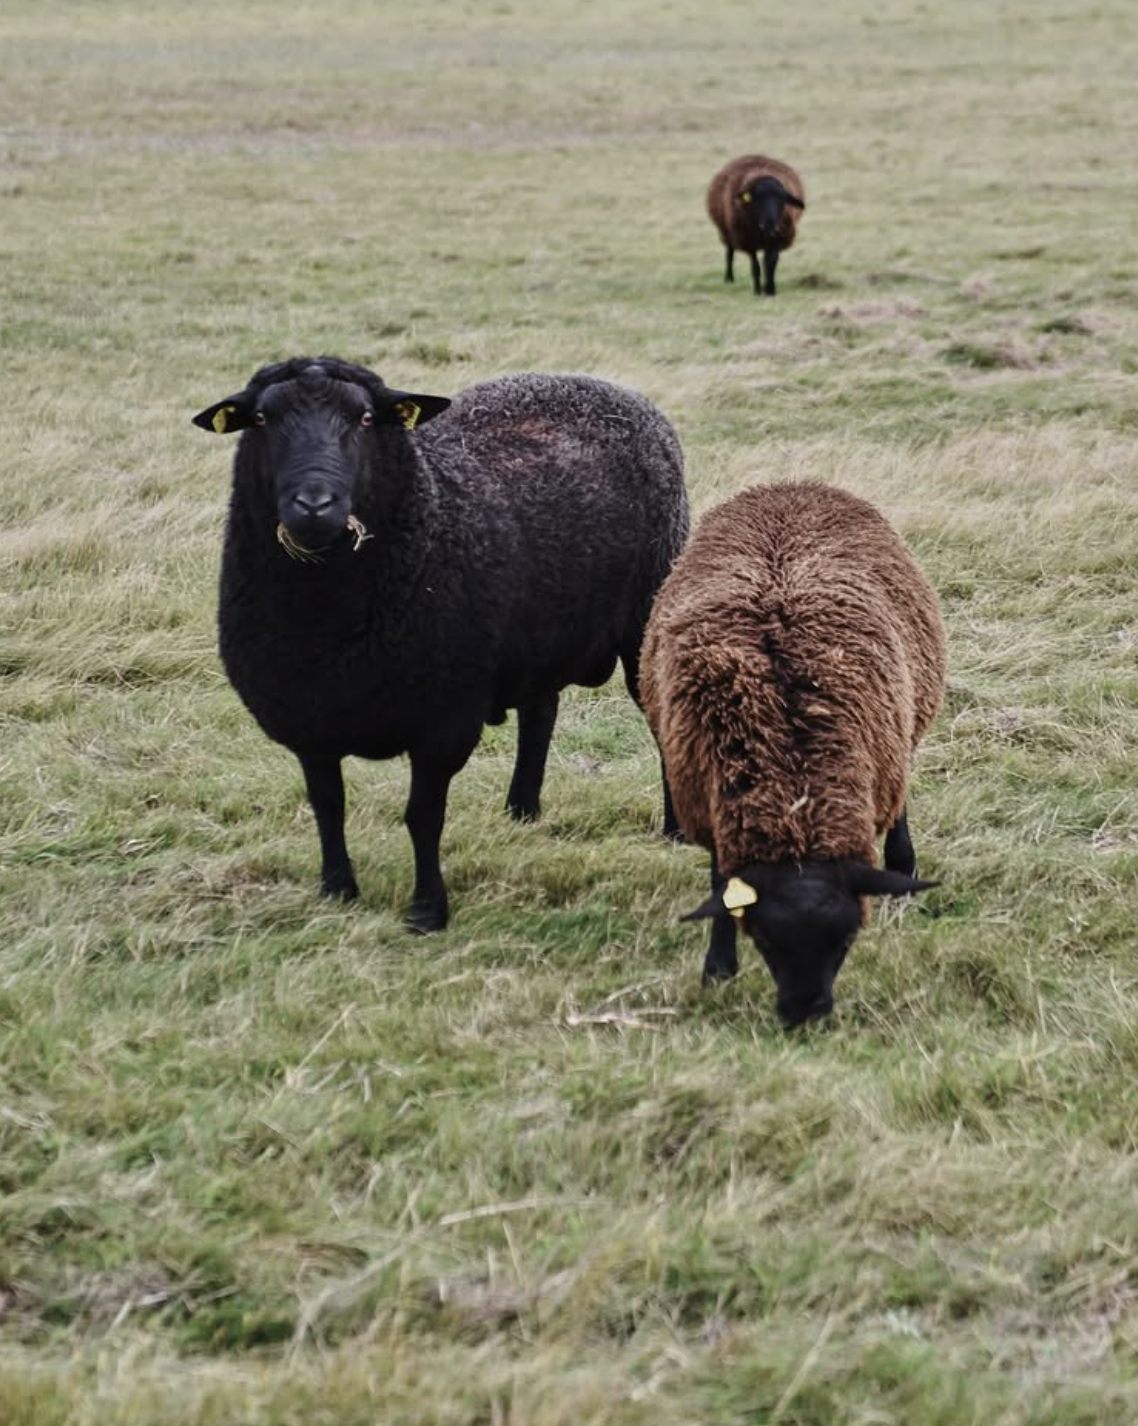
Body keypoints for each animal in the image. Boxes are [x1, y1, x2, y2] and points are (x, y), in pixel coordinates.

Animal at [193, 356, 689, 932]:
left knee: (661, 713)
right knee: (540, 711)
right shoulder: (310, 719)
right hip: (538, 634)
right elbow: (327, 804)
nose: (314, 505)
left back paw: (676, 829)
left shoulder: (442, 720)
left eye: (366, 419)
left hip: (648, 611)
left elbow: (422, 817)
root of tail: (590, 380)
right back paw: (521, 810)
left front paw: (427, 910)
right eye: (261, 419)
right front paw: (337, 891)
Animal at [639, 481, 946, 1028]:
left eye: (847, 938)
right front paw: (718, 969)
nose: (805, 1017)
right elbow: (723, 886)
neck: (795, 790)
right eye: (762, 938)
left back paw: (903, 864)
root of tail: (791, 485)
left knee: (899, 801)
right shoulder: (716, 807)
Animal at [706, 154, 806, 297]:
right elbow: (755, 267)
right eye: (758, 198)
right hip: (728, 232)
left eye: (782, 199)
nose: (770, 222)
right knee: (729, 253)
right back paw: (729, 279)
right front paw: (758, 291)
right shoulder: (748, 242)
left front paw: (770, 290)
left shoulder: (777, 239)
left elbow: (770, 264)